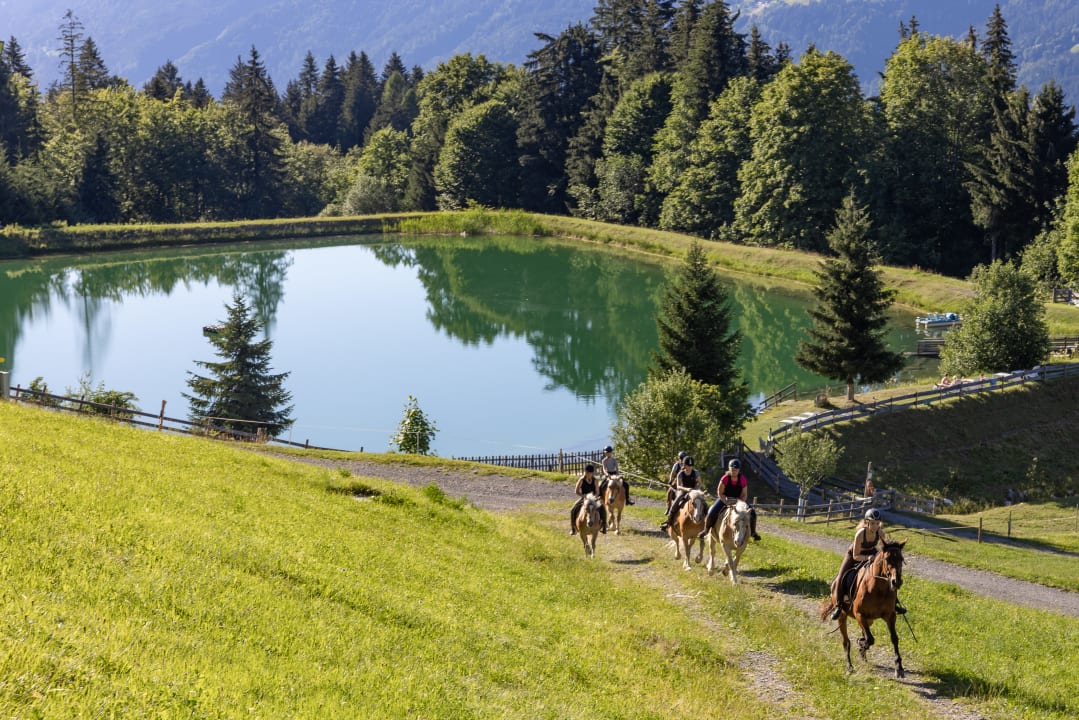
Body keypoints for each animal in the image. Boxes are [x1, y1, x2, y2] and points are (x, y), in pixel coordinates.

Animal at [820, 540, 907, 678]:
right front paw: (862, 644)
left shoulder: (890, 615)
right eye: (887, 558)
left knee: (863, 633)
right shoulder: (859, 614)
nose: (896, 582)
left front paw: (899, 667)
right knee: (846, 642)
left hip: (869, 620)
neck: (879, 588)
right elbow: (870, 639)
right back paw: (850, 666)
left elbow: (894, 638)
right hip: (842, 616)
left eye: (901, 559)